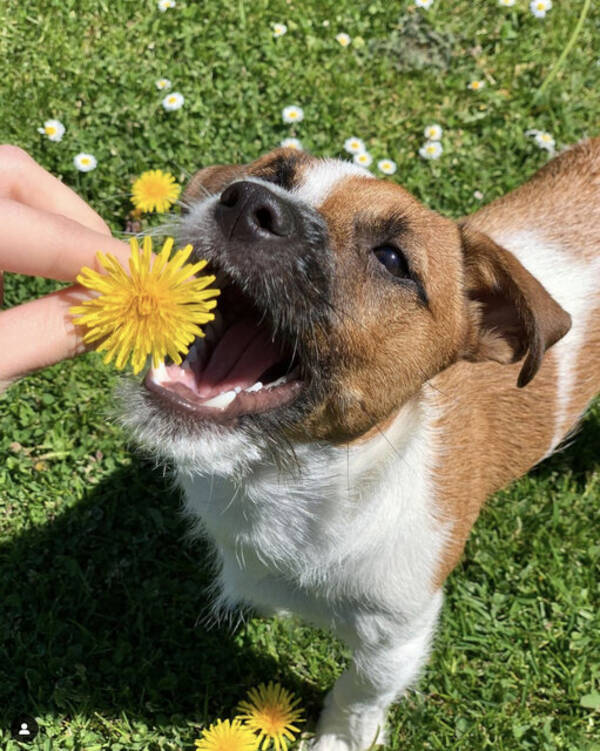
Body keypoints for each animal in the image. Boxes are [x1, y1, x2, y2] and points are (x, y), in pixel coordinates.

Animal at [120, 138, 600, 748]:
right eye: (273, 174)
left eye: (393, 260)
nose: (247, 201)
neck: (295, 479)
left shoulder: (398, 637)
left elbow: (360, 693)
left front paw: (339, 738)